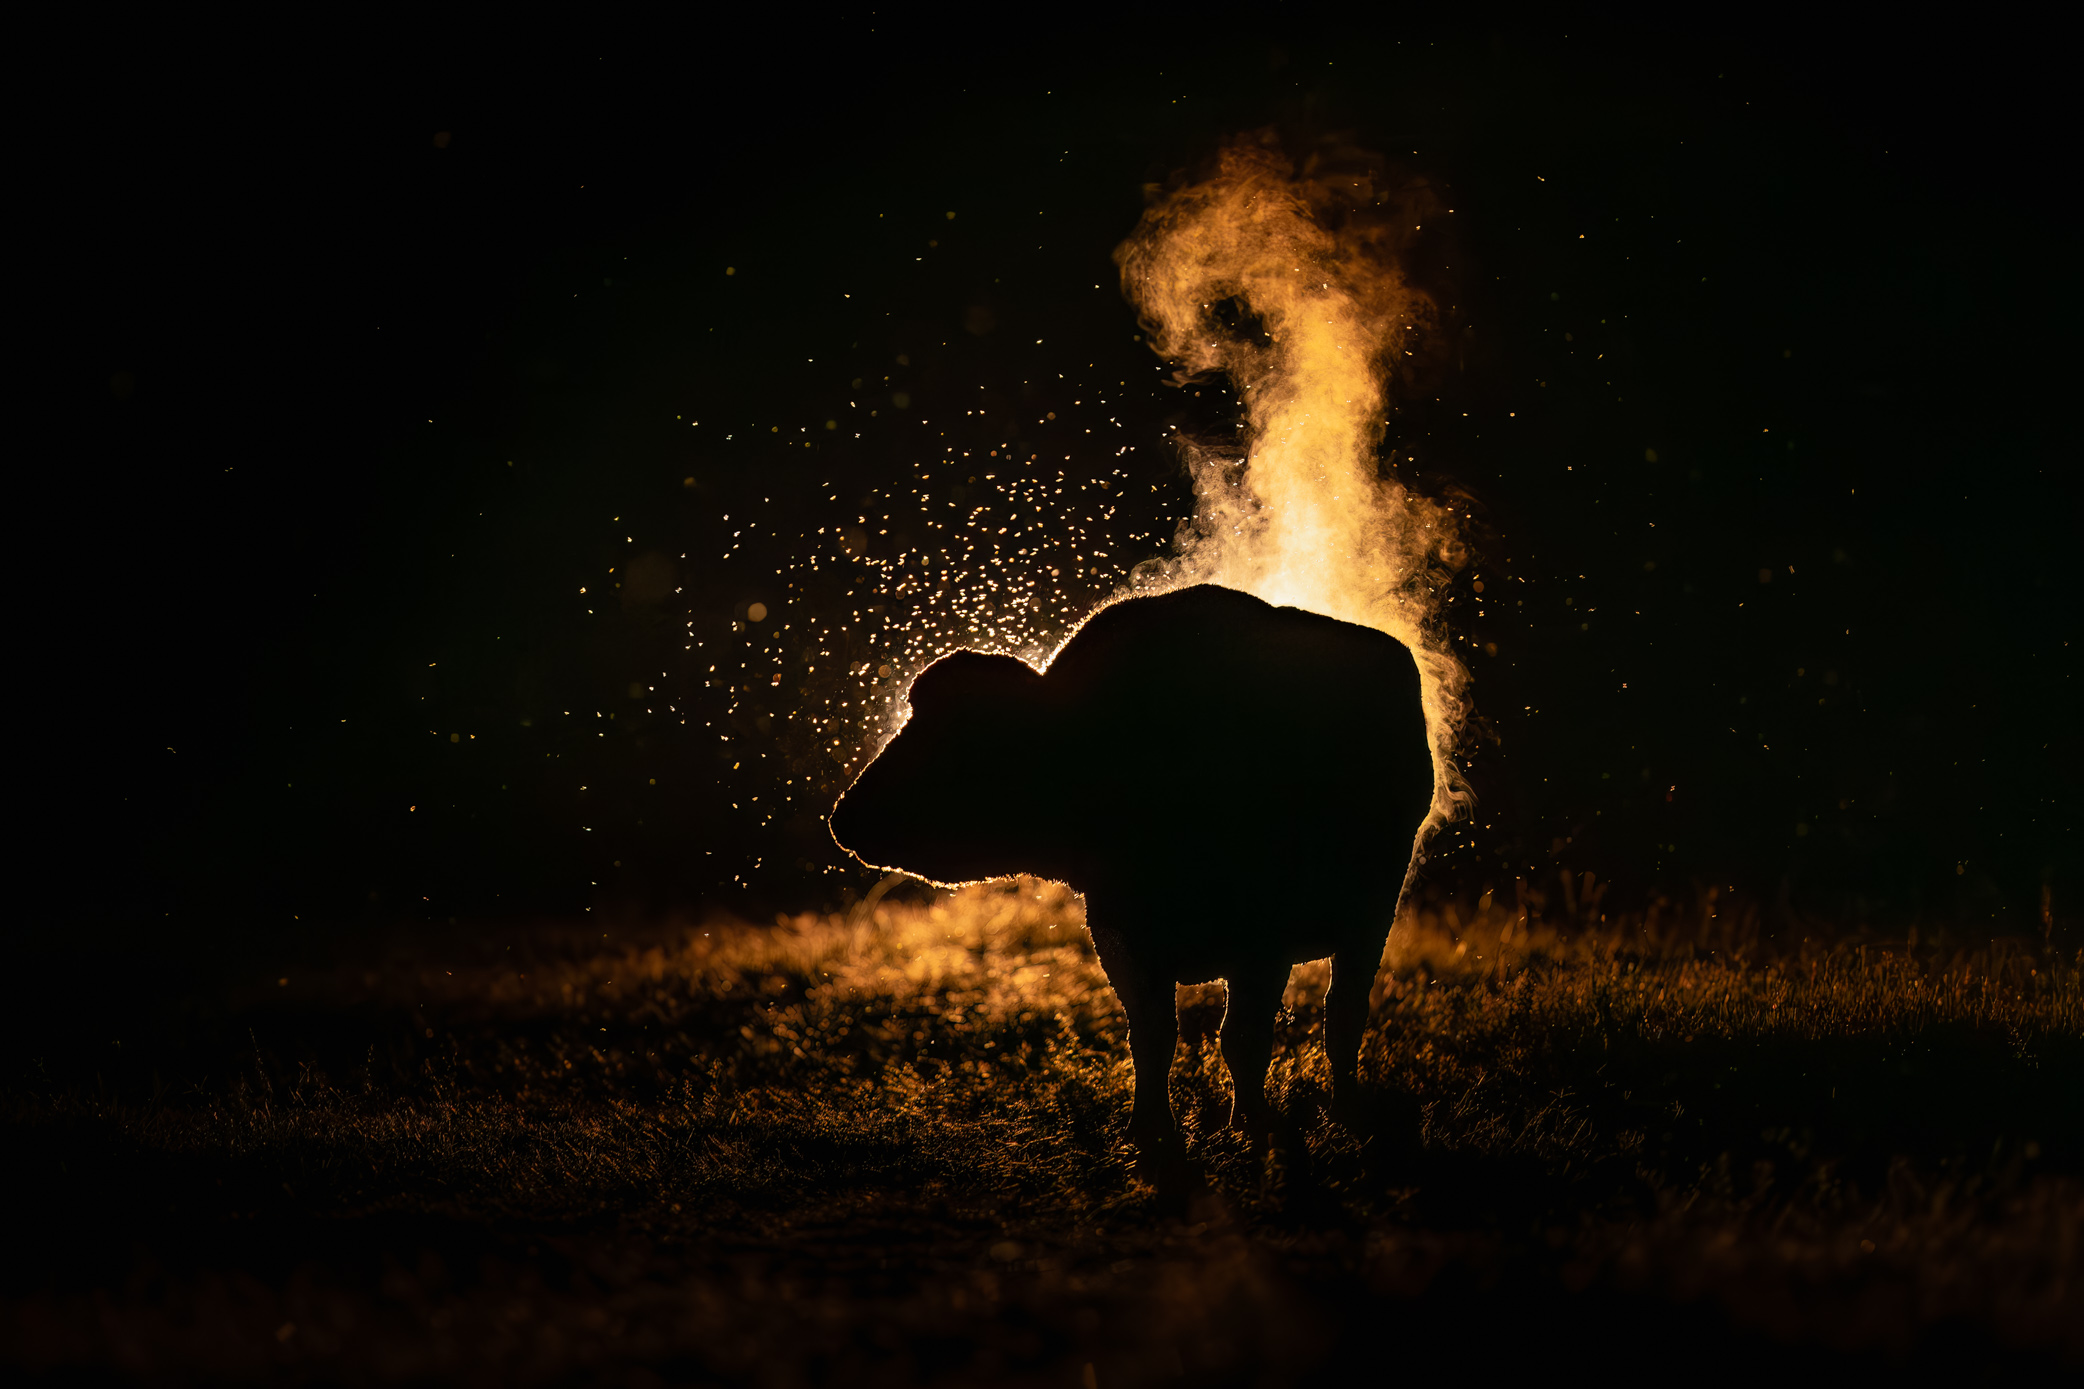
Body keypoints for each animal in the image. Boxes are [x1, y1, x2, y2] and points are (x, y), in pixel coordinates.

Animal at [830, 583, 1433, 1176]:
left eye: (961, 733)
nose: (846, 817)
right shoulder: (1123, 935)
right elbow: (1152, 1037)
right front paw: (1150, 1130)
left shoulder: (1262, 943)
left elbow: (1242, 1038)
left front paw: (1250, 1125)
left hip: (1371, 917)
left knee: (1343, 1013)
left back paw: (1347, 1105)